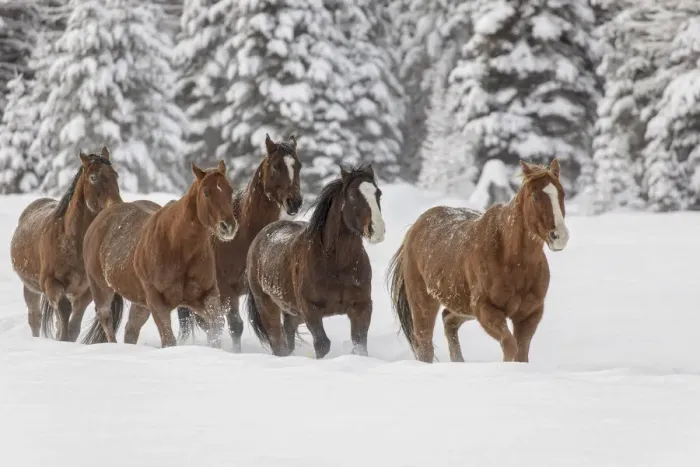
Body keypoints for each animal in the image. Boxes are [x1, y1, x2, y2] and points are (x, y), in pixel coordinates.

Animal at [10, 147, 121, 341]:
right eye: (93, 177)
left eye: (116, 175)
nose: (117, 206)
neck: (70, 242)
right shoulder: (52, 283)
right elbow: (63, 313)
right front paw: (63, 341)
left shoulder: (86, 291)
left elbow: (74, 324)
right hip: (31, 288)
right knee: (35, 318)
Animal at [80, 160, 238, 347]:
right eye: (206, 192)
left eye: (230, 190)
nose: (228, 226)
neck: (178, 247)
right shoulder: (157, 301)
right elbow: (169, 340)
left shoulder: (206, 295)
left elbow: (216, 328)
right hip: (101, 287)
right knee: (106, 318)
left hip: (140, 303)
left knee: (131, 329)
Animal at [176, 134, 303, 351]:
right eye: (276, 165)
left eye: (299, 166)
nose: (295, 202)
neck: (242, 237)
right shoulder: (228, 292)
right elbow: (235, 326)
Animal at [245, 164, 385, 358]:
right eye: (352, 196)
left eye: (378, 193)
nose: (377, 230)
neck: (336, 265)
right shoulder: (310, 310)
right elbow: (322, 344)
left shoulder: (362, 307)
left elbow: (360, 346)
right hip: (267, 305)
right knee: (277, 342)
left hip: (293, 312)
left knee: (288, 331)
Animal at [386, 159, 569, 363]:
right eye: (536, 196)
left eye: (562, 193)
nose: (559, 236)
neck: (513, 261)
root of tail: (414, 229)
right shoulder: (485, 309)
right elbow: (510, 345)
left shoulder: (530, 314)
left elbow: (521, 353)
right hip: (423, 303)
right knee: (425, 345)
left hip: (461, 307)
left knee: (448, 321)